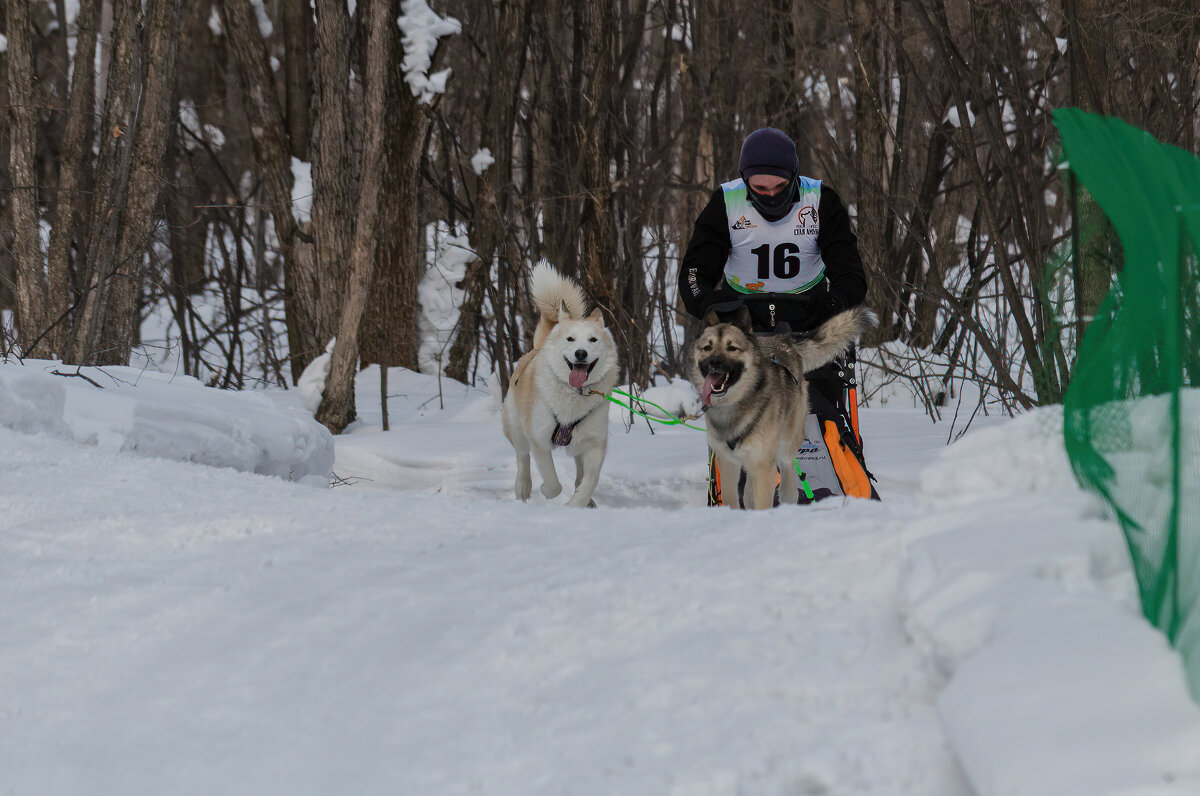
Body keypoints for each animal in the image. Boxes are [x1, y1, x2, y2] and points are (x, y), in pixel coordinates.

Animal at [504, 264, 619, 506]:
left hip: (579, 442)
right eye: (570, 339)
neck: (574, 394)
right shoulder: (540, 439)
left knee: (579, 467)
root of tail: (538, 348)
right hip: (515, 427)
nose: (581, 353)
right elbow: (553, 482)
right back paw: (523, 486)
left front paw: (577, 503)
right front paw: (548, 492)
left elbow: (590, 479)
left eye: (593, 340)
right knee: (522, 455)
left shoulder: (595, 441)